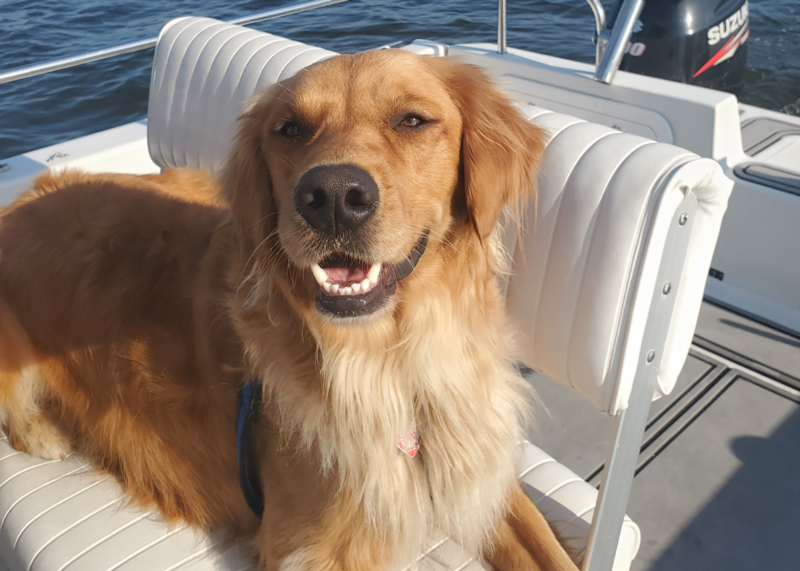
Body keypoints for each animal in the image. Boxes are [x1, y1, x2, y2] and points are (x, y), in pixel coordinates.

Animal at [0, 49, 576, 571]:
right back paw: (44, 432)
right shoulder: (306, 544)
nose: (334, 196)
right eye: (291, 129)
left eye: (412, 120)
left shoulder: (478, 471)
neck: (392, 358)